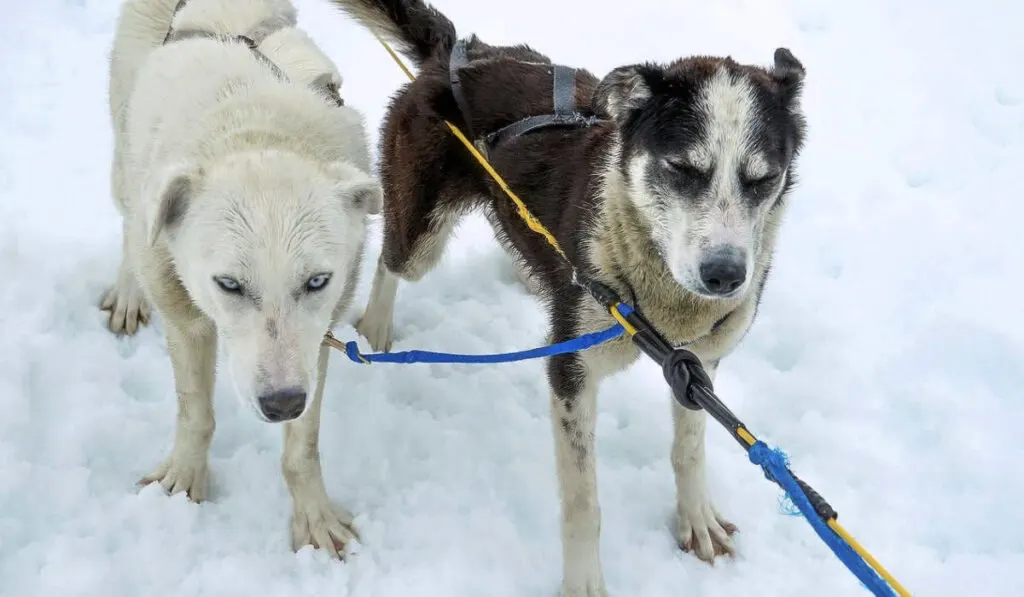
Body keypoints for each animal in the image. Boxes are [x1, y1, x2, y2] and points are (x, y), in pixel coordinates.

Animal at [102, 0, 380, 561]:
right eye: (229, 284)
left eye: (317, 280)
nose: (282, 403)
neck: (256, 128)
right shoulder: (185, 318)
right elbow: (196, 413)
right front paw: (182, 483)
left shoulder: (314, 343)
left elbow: (303, 447)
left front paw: (314, 516)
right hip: (126, 162)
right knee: (130, 221)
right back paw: (128, 289)